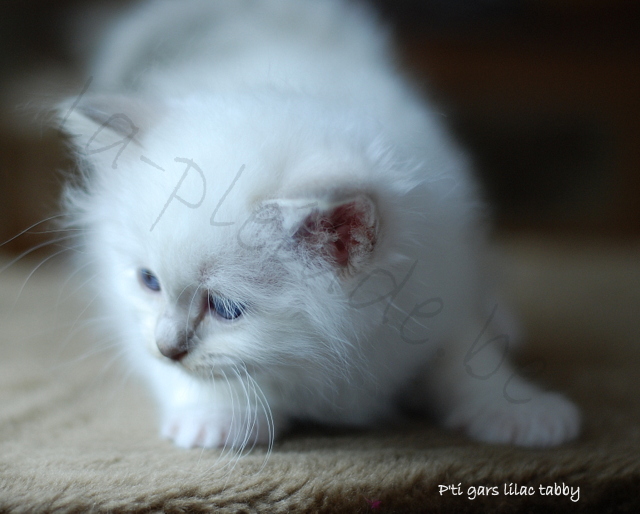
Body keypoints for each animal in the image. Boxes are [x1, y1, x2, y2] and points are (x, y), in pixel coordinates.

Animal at [58, 0, 580, 448]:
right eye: (149, 282)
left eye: (226, 308)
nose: (168, 348)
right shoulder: (130, 315)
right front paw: (215, 416)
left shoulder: (440, 287)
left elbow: (470, 358)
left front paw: (521, 411)